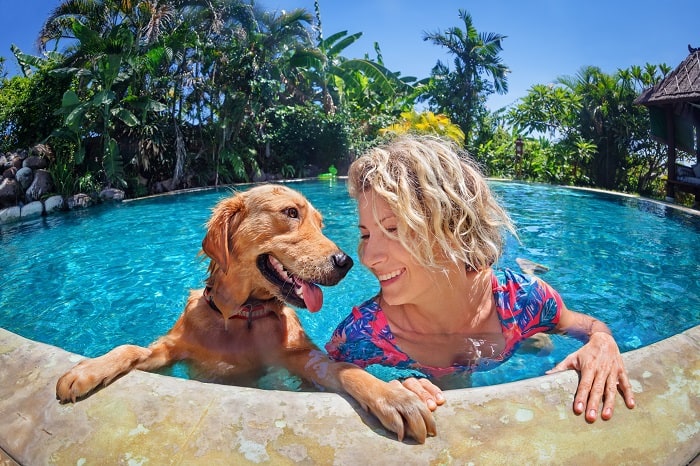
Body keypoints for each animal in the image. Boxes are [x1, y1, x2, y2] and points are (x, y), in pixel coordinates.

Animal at [57, 184, 434, 442]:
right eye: (291, 213)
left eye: (319, 223)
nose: (345, 262)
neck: (241, 317)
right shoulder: (170, 351)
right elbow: (131, 348)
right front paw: (87, 370)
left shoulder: (302, 359)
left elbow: (344, 370)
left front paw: (394, 396)